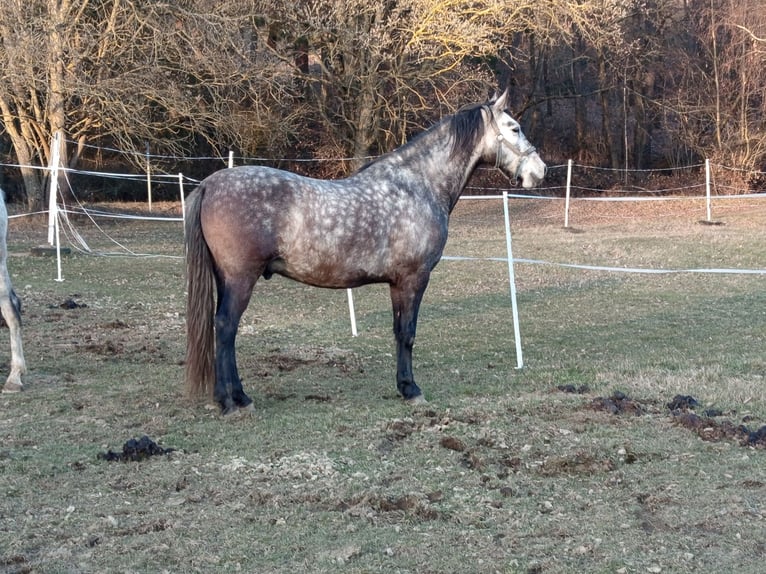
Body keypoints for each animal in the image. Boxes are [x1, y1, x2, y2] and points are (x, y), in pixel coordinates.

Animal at [185, 90, 546, 415]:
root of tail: (210, 184)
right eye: (514, 127)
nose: (540, 170)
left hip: (226, 278)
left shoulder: (397, 283)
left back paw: (234, 397)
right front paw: (411, 389)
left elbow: (398, 332)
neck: (417, 186)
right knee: (226, 327)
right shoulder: (413, 279)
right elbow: (408, 333)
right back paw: (232, 402)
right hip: (240, 278)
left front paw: (403, 386)